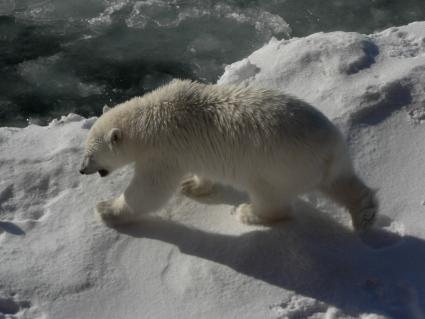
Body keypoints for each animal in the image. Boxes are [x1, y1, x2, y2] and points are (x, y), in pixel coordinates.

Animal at [79, 79, 378, 231]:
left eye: (91, 155)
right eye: (85, 151)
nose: (81, 170)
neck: (148, 119)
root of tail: (329, 151)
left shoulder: (163, 152)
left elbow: (148, 191)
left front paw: (105, 209)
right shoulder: (189, 148)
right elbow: (201, 171)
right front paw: (191, 185)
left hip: (278, 166)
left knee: (271, 197)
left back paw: (247, 212)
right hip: (332, 159)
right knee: (342, 183)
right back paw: (365, 215)